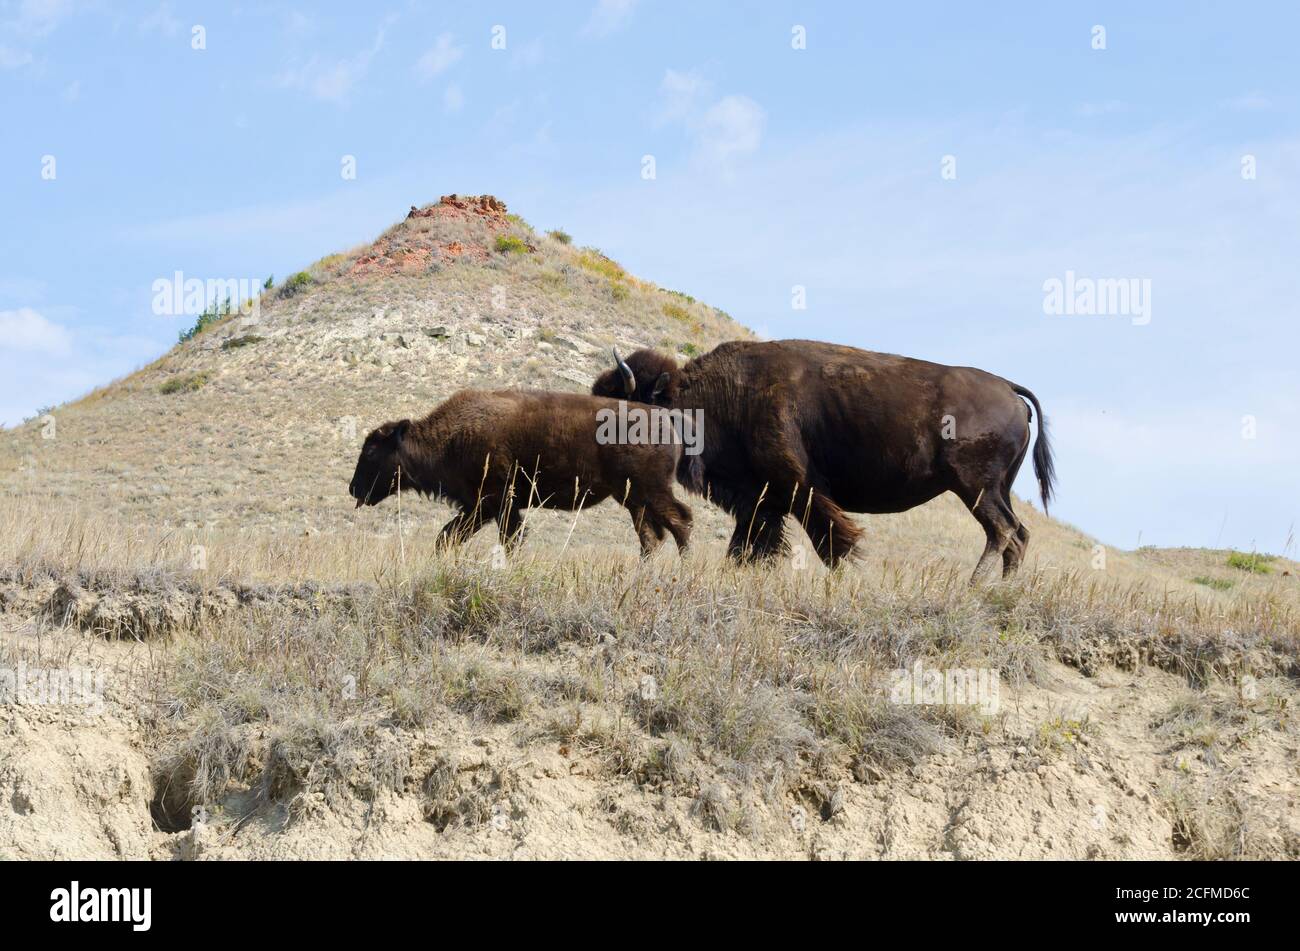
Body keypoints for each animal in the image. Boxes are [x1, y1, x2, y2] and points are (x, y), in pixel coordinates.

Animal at [345, 389, 691, 556]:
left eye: (372, 450)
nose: (353, 488)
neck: (452, 437)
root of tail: (665, 421)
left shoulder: (497, 503)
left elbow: (508, 541)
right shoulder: (480, 507)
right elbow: (447, 537)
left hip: (649, 493)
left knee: (680, 523)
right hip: (633, 499)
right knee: (652, 538)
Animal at [595, 337, 1050, 582]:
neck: (727, 395)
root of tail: (1008, 388)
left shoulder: (798, 487)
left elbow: (830, 538)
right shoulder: (762, 499)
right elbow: (749, 544)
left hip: (974, 487)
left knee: (1002, 531)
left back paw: (974, 587)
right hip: (996, 488)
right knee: (1019, 534)